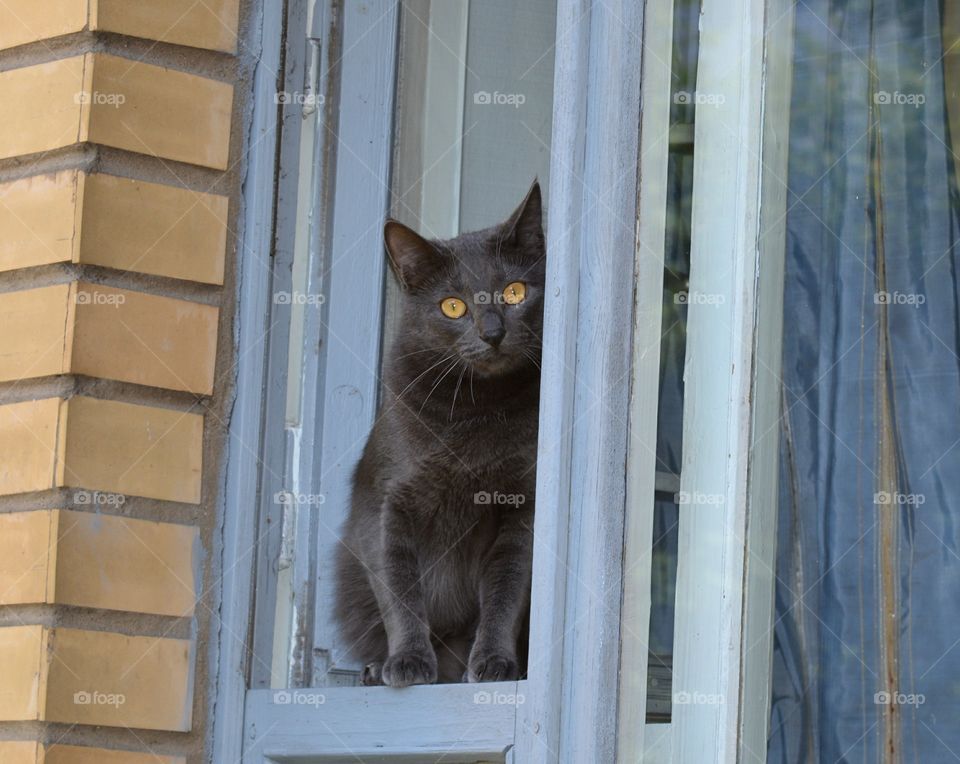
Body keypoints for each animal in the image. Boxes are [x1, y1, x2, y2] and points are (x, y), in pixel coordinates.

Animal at [336, 181, 548, 688]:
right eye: (453, 306)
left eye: (514, 291)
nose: (492, 332)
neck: (476, 410)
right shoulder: (384, 503)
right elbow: (399, 586)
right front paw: (408, 663)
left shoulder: (525, 507)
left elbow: (507, 587)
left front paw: (493, 663)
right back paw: (377, 669)